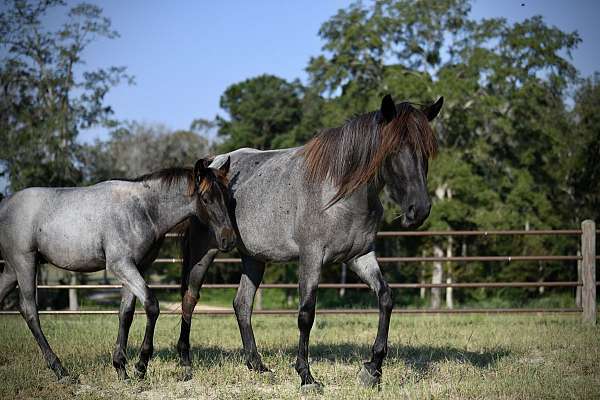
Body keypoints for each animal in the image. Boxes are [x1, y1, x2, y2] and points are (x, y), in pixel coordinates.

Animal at [0, 158, 234, 382]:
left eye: (228, 197)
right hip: (25, 264)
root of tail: (5, 204)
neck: (143, 210)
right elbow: (152, 306)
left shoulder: (135, 268)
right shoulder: (121, 265)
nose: (228, 239)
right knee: (30, 310)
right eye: (206, 198)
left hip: (12, 270)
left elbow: (126, 314)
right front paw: (140, 366)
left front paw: (121, 368)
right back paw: (61, 370)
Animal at [176, 94, 442, 390]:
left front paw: (372, 368)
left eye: (427, 151)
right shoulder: (312, 257)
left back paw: (258, 366)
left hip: (254, 258)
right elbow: (306, 314)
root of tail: (211, 166)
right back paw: (185, 363)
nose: (419, 210)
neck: (339, 192)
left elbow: (385, 298)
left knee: (242, 304)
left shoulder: (360, 256)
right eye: (393, 149)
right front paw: (306, 376)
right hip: (205, 252)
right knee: (190, 298)